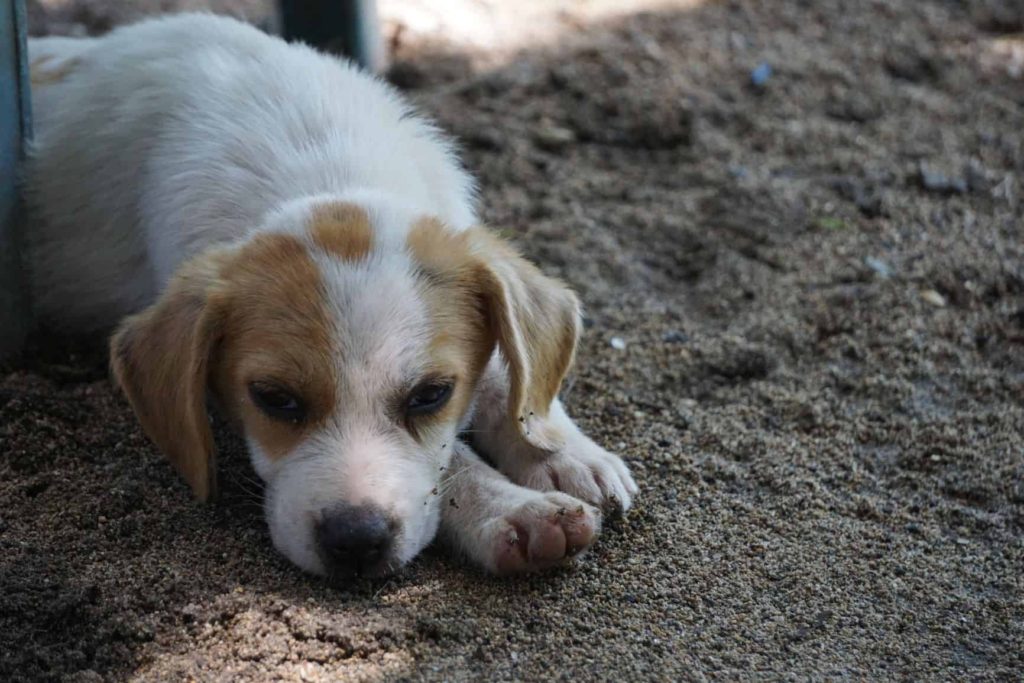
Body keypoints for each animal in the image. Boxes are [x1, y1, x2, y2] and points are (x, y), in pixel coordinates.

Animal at [24, 13, 634, 581]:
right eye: (274, 399)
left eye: (431, 395)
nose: (357, 542)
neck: (324, 168)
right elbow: (454, 461)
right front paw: (514, 509)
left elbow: (507, 376)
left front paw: (562, 452)